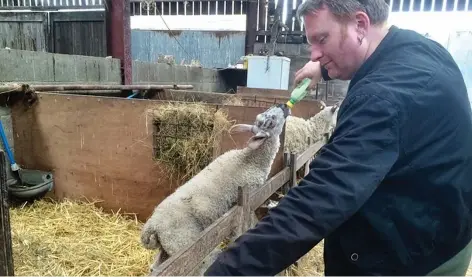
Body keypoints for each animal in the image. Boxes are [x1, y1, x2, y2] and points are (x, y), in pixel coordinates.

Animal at [138, 102, 290, 270]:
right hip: (183, 241)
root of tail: (152, 225)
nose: (283, 105)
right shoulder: (250, 196)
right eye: (270, 121)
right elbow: (249, 221)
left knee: (157, 267)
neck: (250, 160)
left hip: (168, 246)